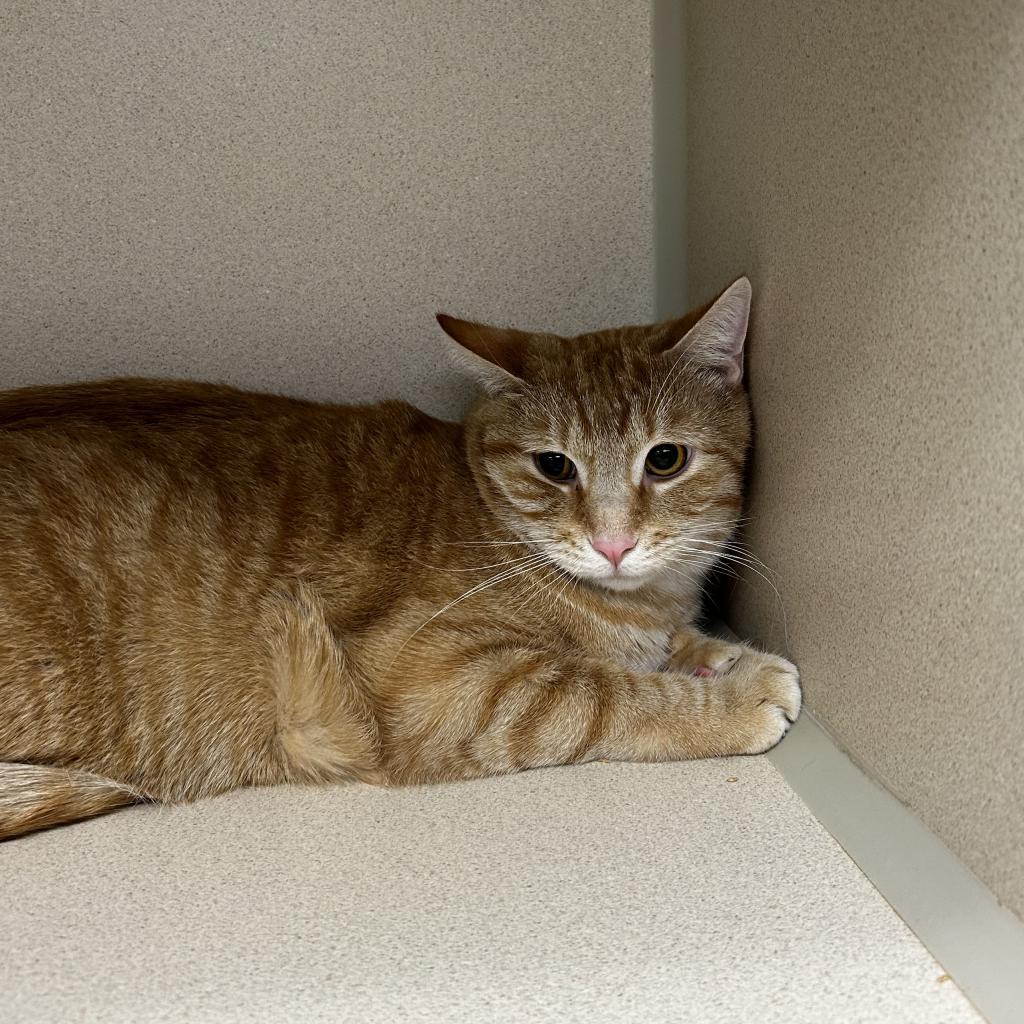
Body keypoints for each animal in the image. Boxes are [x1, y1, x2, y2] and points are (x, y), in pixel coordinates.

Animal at [0, 276, 798, 835]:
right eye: (553, 466)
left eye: (665, 459)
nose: (612, 542)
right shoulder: (439, 680)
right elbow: (603, 694)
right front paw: (731, 696)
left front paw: (717, 653)